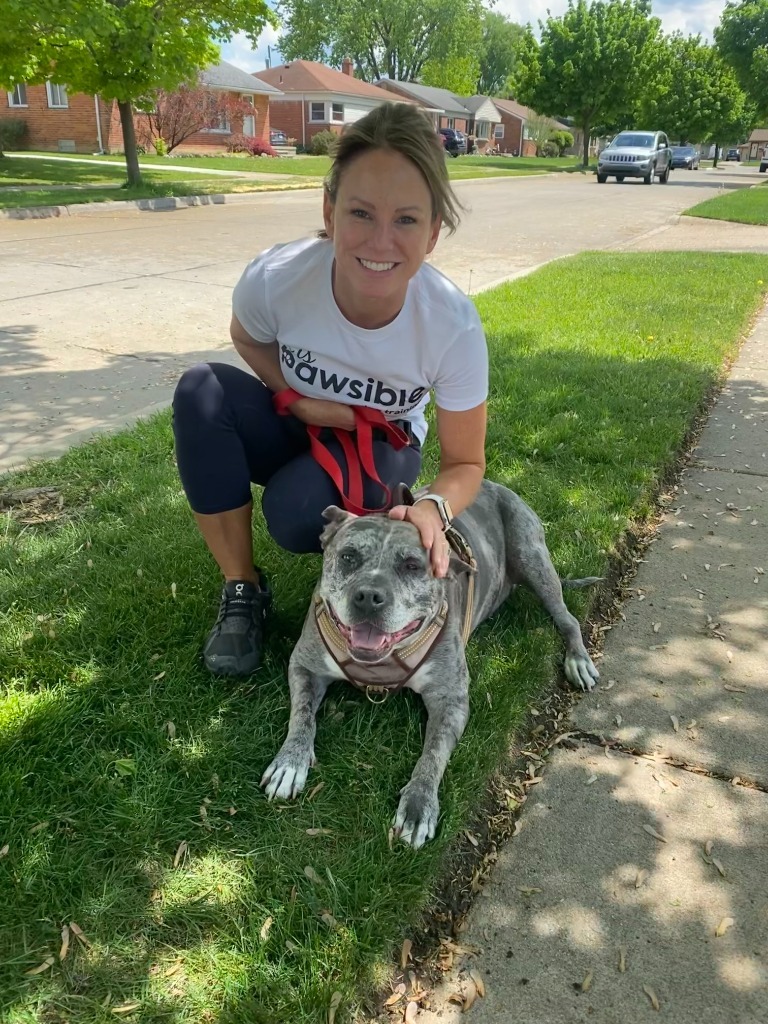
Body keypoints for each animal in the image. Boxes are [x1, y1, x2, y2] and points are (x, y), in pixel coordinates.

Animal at [264, 479, 602, 847]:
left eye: (412, 566)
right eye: (348, 557)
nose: (368, 596)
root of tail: (494, 483)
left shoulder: (450, 699)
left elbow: (433, 754)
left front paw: (418, 804)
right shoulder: (305, 666)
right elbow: (302, 716)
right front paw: (290, 761)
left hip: (533, 559)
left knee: (567, 618)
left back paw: (578, 660)